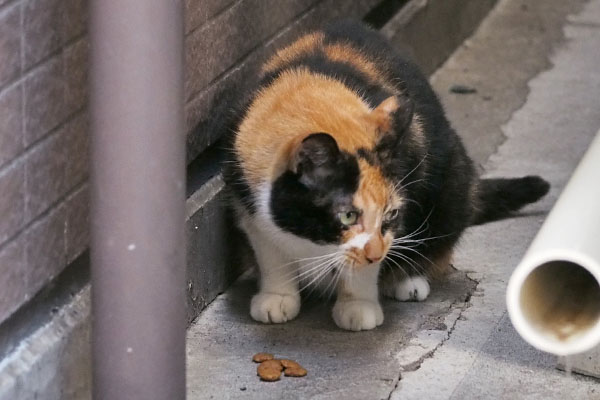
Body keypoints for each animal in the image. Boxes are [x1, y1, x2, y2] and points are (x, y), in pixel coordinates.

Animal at [224, 20, 548, 332]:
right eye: (347, 216)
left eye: (390, 214)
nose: (376, 254)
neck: (310, 102)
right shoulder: (248, 204)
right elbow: (270, 252)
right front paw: (276, 297)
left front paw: (357, 305)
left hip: (453, 184)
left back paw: (406, 280)